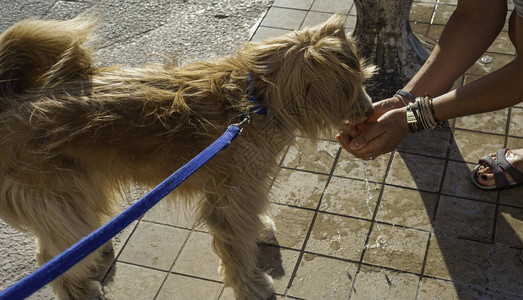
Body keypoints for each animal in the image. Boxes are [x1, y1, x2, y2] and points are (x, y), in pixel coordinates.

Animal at [0, 13, 376, 300]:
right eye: (355, 83)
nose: (371, 110)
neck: (256, 98)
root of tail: (12, 104)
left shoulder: (246, 190)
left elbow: (249, 224)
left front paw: (259, 230)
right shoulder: (230, 199)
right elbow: (237, 249)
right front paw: (252, 286)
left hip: (81, 190)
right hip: (61, 198)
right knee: (48, 256)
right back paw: (80, 288)